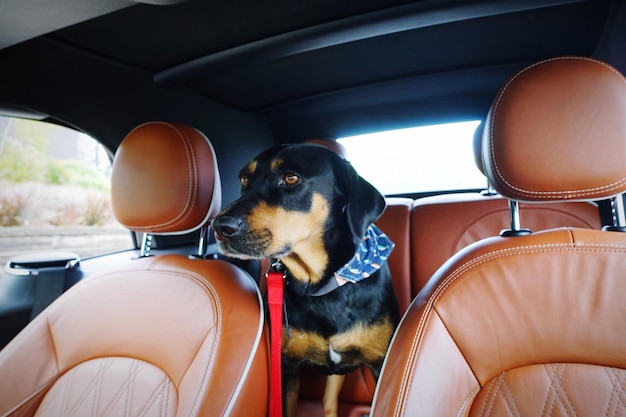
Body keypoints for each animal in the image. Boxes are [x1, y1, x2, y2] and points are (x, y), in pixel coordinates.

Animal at [212, 143, 398, 416]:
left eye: (291, 178)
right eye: (245, 180)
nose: (219, 226)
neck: (323, 285)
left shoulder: (380, 363)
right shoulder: (286, 367)